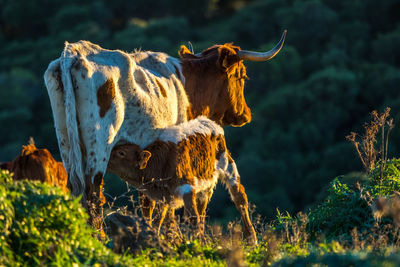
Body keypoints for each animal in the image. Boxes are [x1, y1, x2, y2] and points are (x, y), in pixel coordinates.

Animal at [43, 30, 286, 232]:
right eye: (241, 75)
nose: (245, 114)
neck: (184, 81)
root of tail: (73, 53)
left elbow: (148, 201)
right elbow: (162, 203)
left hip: (67, 143)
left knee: (75, 190)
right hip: (100, 146)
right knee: (93, 194)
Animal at [107, 117, 256, 245]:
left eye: (121, 153)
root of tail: (208, 120)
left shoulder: (186, 186)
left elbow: (191, 217)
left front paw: (200, 245)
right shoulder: (164, 196)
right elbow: (157, 219)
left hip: (228, 166)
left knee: (240, 199)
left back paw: (251, 239)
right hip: (205, 184)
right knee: (202, 209)